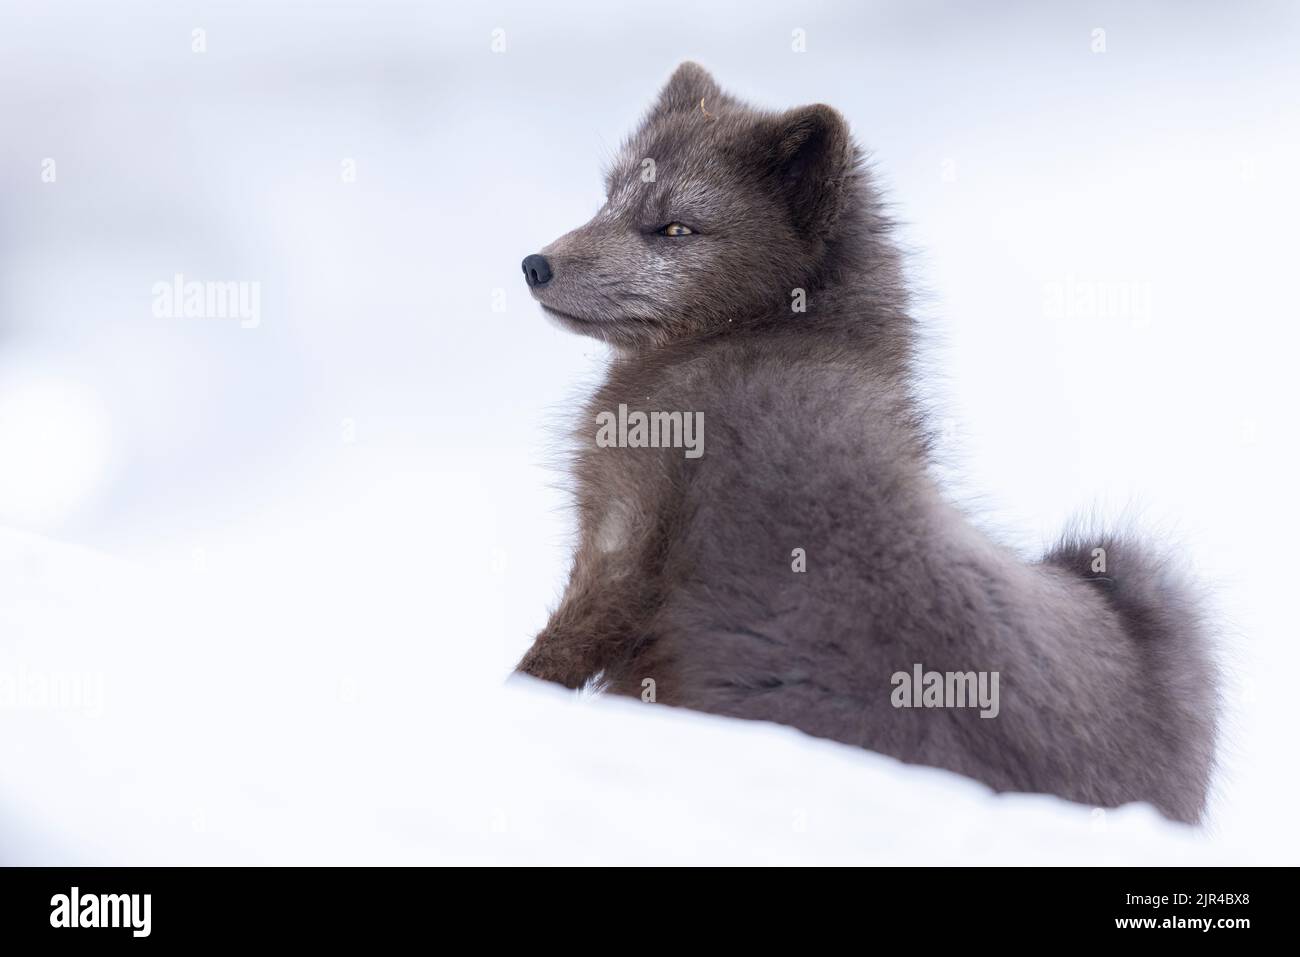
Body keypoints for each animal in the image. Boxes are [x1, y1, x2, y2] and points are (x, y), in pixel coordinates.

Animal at [517, 61, 1216, 821]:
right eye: (609, 198)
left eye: (674, 227)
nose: (534, 264)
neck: (775, 330)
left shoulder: (622, 535)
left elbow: (549, 657)